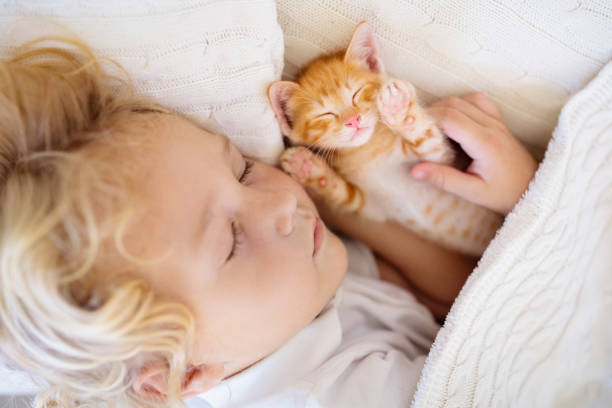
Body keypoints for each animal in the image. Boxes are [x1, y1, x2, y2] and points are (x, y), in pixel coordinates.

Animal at [268, 21, 502, 255]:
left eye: (357, 94)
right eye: (325, 114)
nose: (353, 120)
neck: (367, 151)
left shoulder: (446, 159)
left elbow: (429, 142)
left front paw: (397, 107)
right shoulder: (371, 206)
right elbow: (344, 194)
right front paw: (307, 166)